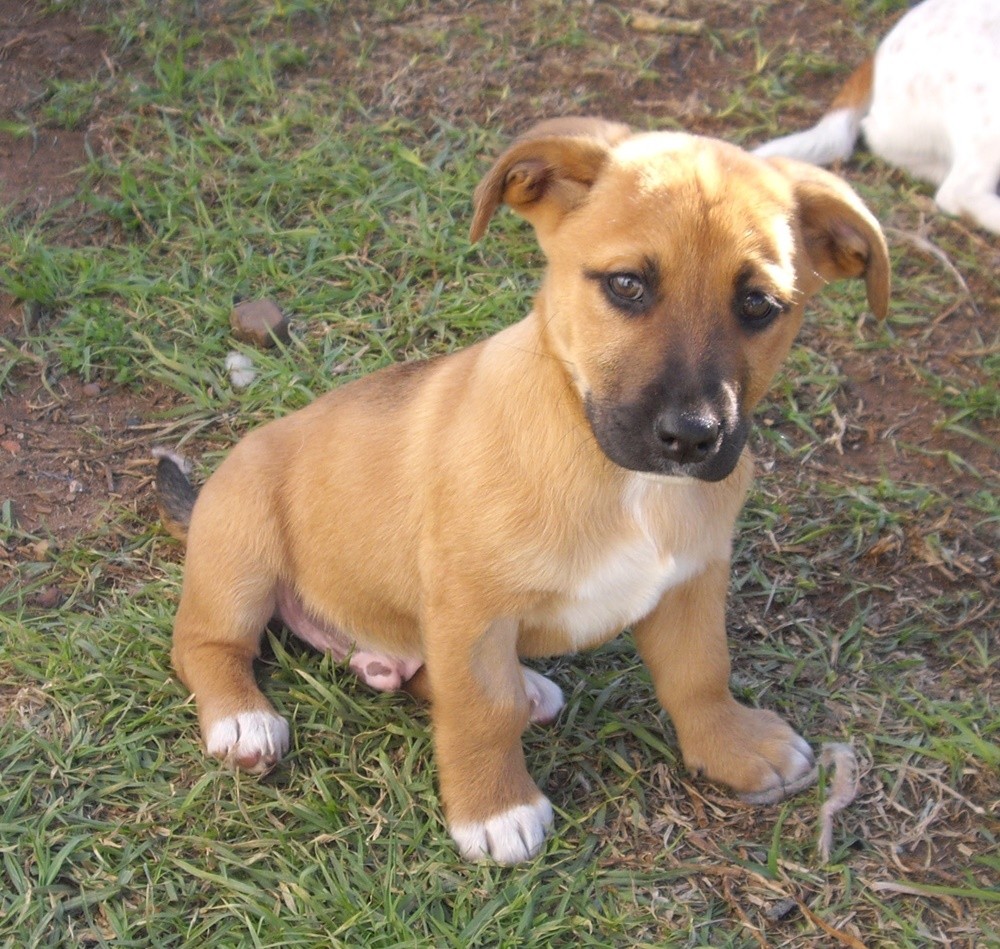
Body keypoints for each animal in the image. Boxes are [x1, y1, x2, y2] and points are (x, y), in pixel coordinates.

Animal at [157, 117, 889, 865]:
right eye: (626, 284)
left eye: (759, 305)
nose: (691, 437)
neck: (624, 481)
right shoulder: (471, 607)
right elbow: (483, 711)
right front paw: (493, 808)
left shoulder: (691, 581)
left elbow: (701, 672)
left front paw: (732, 744)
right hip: (242, 548)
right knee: (204, 643)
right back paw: (242, 719)